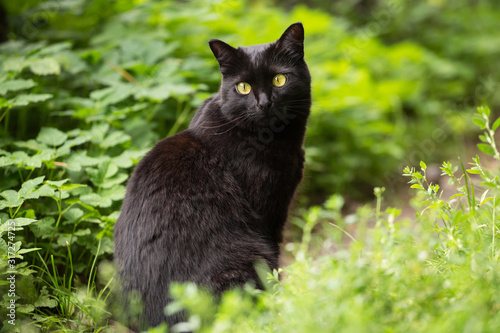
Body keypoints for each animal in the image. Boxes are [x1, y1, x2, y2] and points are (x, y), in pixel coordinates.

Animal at [114, 22, 310, 328]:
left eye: (280, 80)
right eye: (243, 87)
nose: (264, 103)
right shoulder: (268, 214)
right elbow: (277, 261)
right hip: (246, 258)